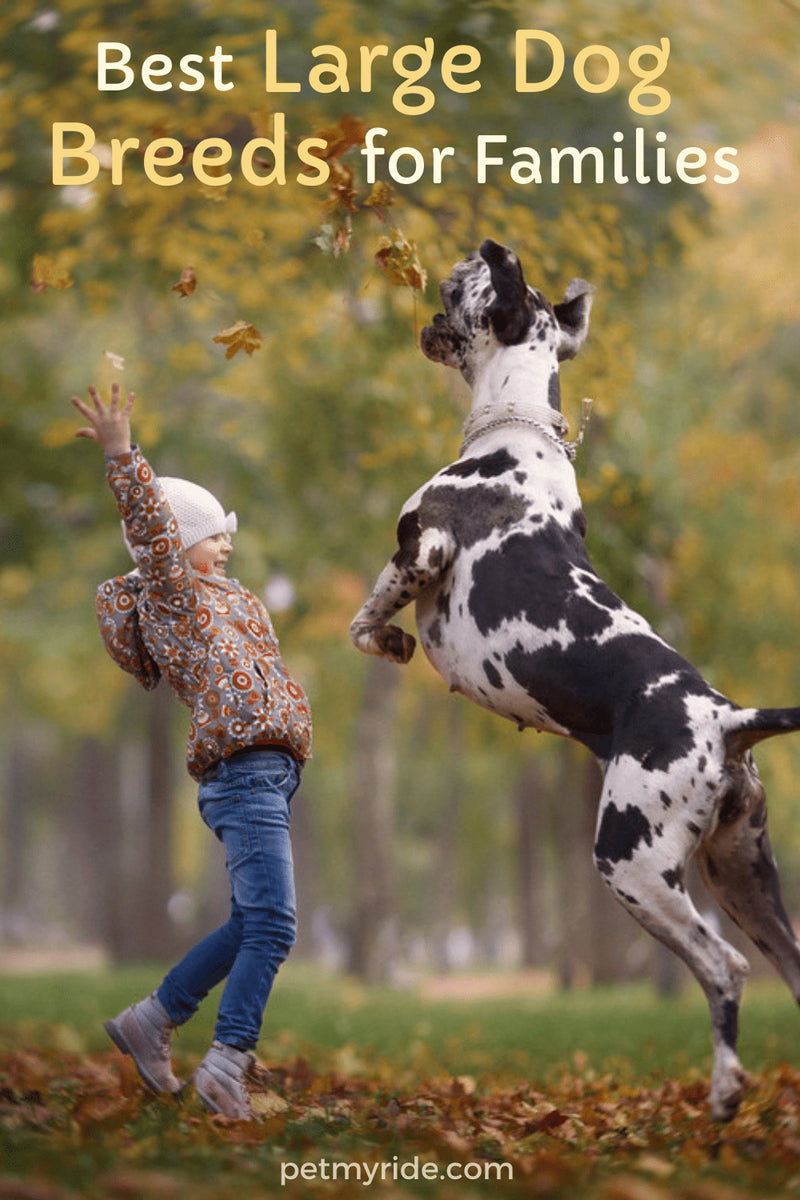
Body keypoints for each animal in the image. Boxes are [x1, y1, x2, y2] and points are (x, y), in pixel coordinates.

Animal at [350, 238, 800, 1118]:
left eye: (465, 283)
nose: (458, 256)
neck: (515, 434)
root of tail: (727, 718)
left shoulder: (420, 549)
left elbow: (363, 622)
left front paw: (386, 640)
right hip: (744, 876)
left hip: (634, 863)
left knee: (723, 969)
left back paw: (726, 1089)